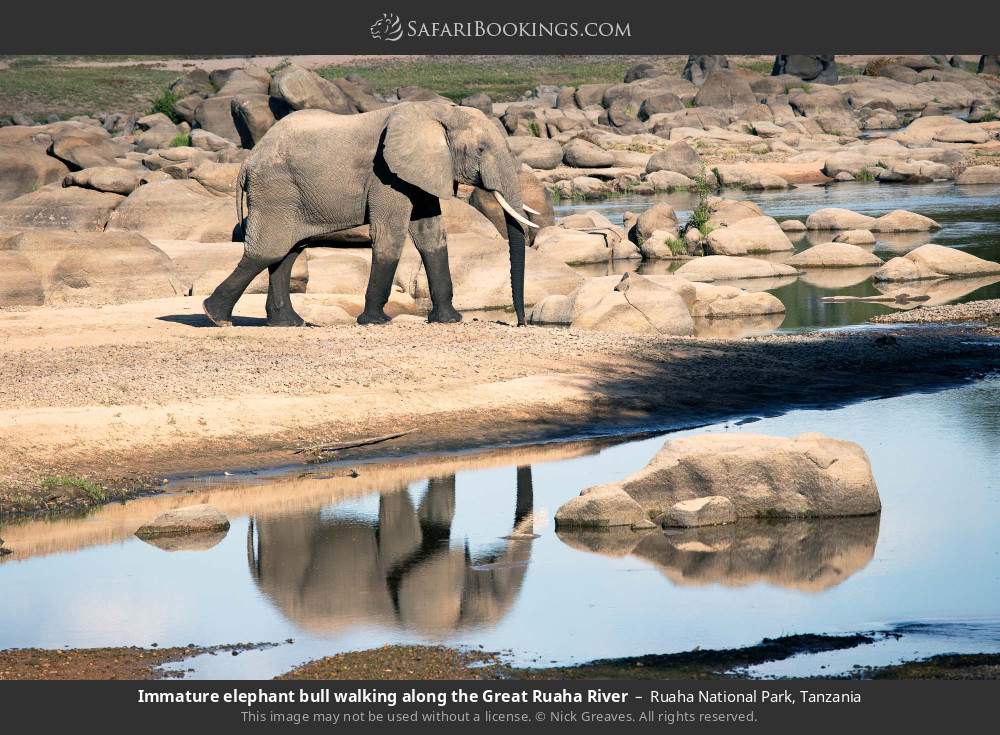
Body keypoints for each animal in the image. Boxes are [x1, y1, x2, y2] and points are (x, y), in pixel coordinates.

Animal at [202, 101, 539, 328]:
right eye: (481, 150)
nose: (520, 323)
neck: (438, 112)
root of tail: (248, 161)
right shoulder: (385, 175)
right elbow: (390, 235)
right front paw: (376, 321)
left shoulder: (420, 172)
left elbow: (430, 235)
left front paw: (449, 320)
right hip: (276, 191)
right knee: (269, 250)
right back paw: (215, 316)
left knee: (288, 251)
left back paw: (289, 323)